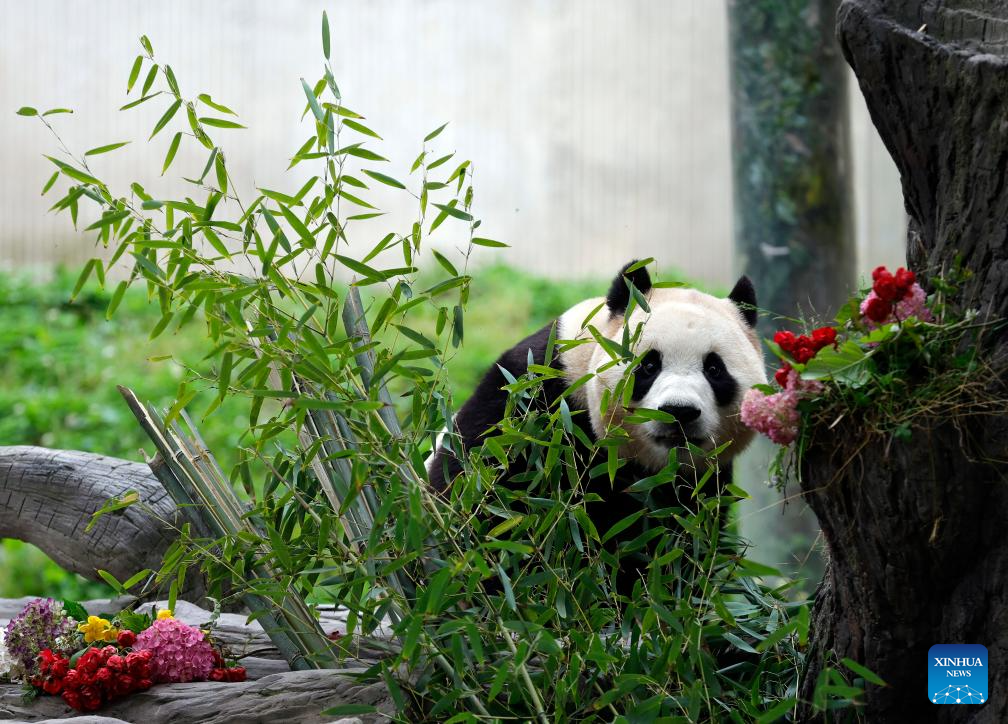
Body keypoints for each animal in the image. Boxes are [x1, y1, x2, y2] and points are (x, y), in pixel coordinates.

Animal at [425, 264, 762, 596]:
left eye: (714, 369)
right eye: (649, 365)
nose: (679, 411)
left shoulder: (702, 486)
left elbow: (678, 551)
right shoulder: (531, 397)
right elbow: (484, 496)